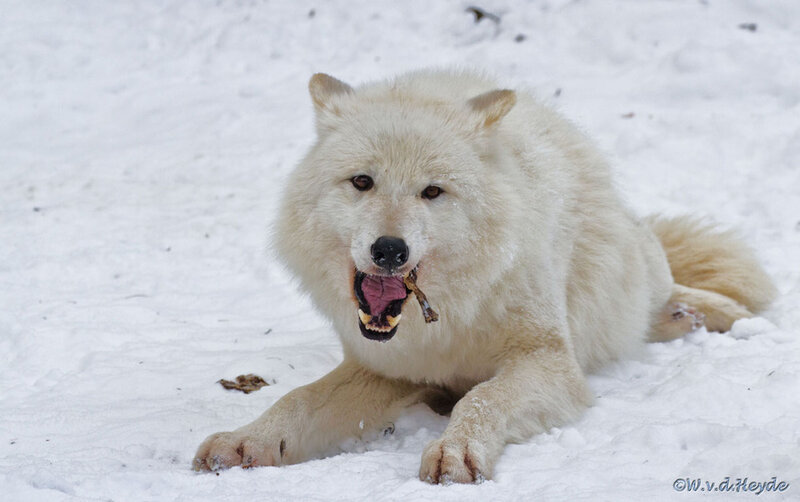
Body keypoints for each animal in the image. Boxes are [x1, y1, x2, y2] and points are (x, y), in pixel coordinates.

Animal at [193, 70, 776, 483]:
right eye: (362, 182)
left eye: (432, 191)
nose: (389, 250)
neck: (450, 318)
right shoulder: (389, 370)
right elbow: (296, 400)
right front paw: (246, 442)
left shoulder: (550, 362)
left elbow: (481, 398)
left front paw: (455, 449)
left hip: (634, 269)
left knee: (662, 296)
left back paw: (712, 315)